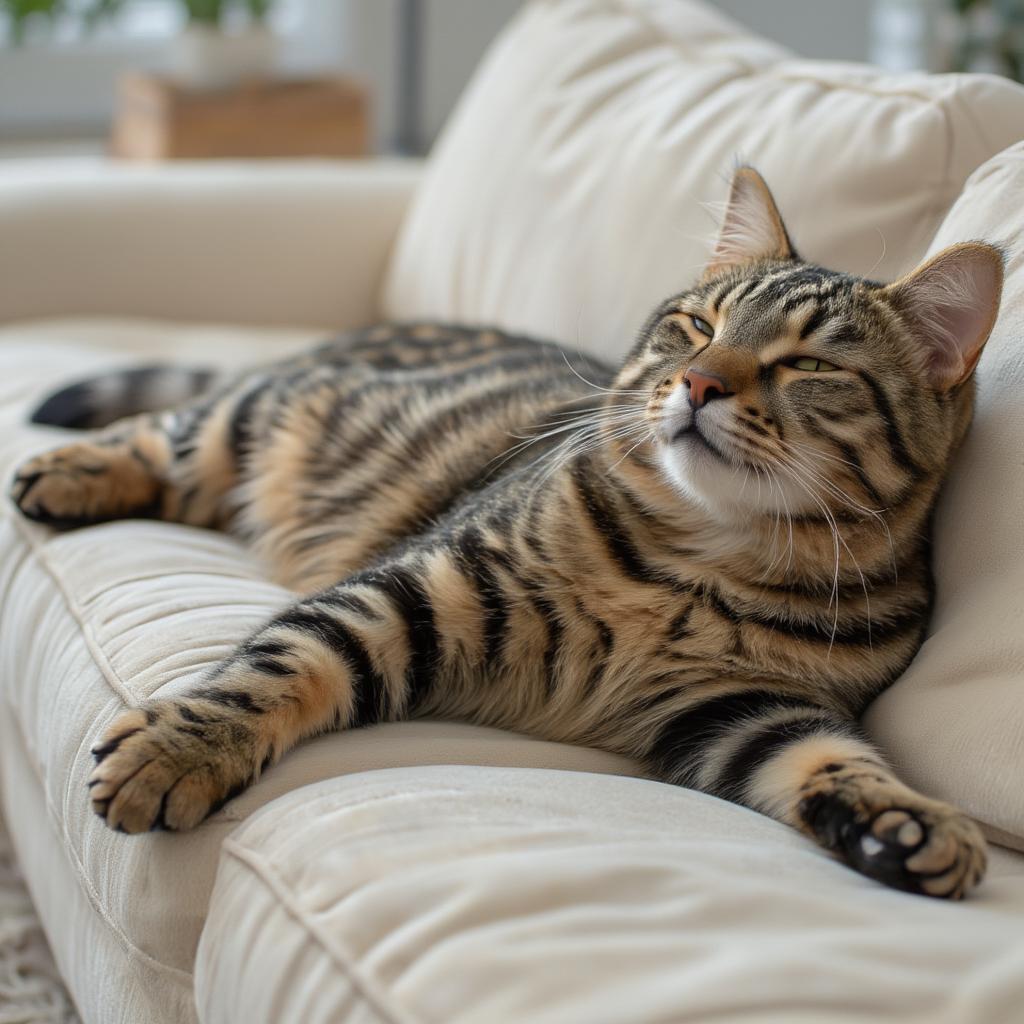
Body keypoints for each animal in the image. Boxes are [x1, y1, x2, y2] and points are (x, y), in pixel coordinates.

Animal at [8, 165, 999, 897]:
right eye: (696, 326)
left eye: (807, 365)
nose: (699, 383)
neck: (700, 568)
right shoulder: (412, 588)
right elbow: (276, 667)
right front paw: (180, 749)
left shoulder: (740, 707)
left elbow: (835, 759)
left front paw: (906, 822)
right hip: (264, 421)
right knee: (173, 432)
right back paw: (66, 473)